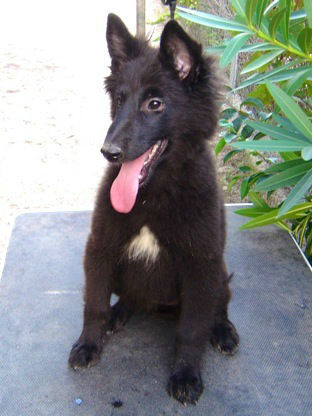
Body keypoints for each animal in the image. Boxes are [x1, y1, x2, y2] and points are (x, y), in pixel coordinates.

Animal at [68, 13, 239, 406]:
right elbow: (94, 303)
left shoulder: (200, 263)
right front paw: (88, 344)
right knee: (128, 297)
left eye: (155, 104)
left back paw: (222, 330)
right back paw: (119, 313)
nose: (109, 152)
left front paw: (186, 374)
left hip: (219, 272)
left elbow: (191, 329)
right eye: (119, 99)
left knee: (219, 305)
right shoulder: (100, 248)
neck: (152, 194)